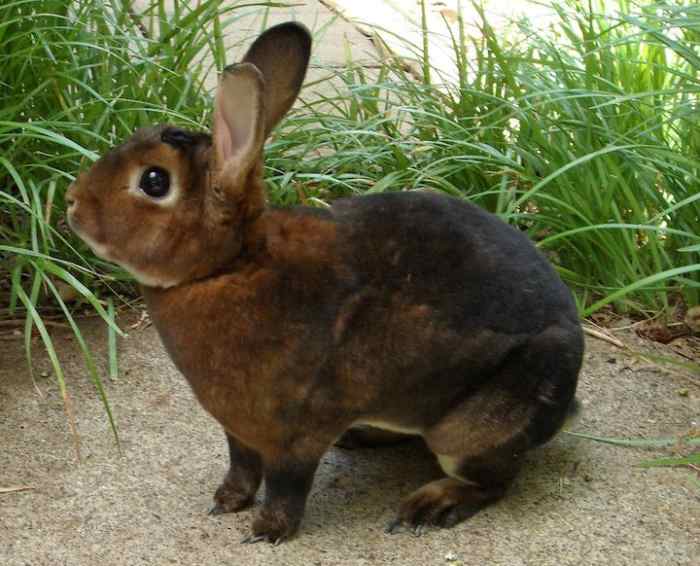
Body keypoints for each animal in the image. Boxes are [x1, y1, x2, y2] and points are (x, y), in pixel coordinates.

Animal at [66, 22, 584, 544]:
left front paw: (266, 531)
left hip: (473, 426)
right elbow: (241, 466)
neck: (230, 265)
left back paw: (428, 506)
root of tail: (567, 395)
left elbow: (286, 486)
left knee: (493, 482)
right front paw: (225, 503)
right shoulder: (238, 429)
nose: (72, 201)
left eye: (154, 181)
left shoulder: (296, 434)